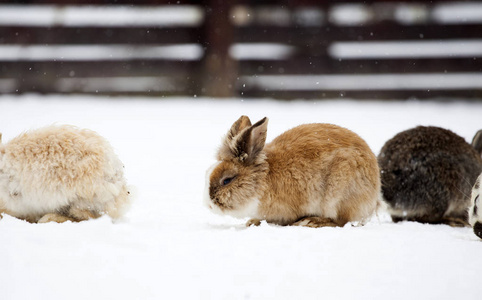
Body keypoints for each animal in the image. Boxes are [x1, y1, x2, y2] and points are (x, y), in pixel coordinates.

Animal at [202, 115, 380, 227]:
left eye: (227, 180)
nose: (208, 204)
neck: (262, 180)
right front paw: (252, 222)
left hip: (338, 195)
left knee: (342, 221)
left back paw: (311, 222)